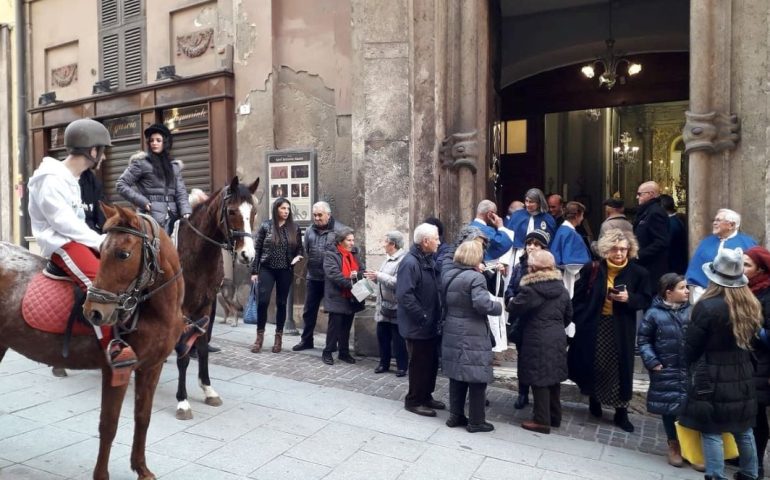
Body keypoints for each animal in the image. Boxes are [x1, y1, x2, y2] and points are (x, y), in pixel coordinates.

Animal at [0, 205, 183, 480]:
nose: (93, 313)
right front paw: (102, 475)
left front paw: (141, 469)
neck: (153, 311)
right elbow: (109, 424)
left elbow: (143, 417)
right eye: (103, 248)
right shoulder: (117, 370)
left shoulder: (152, 367)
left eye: (123, 254)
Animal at [173, 174, 258, 418]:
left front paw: (208, 389)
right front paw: (182, 401)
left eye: (254, 211)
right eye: (231, 211)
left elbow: (202, 348)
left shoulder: (205, 305)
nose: (248, 255)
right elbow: (183, 353)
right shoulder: (183, 310)